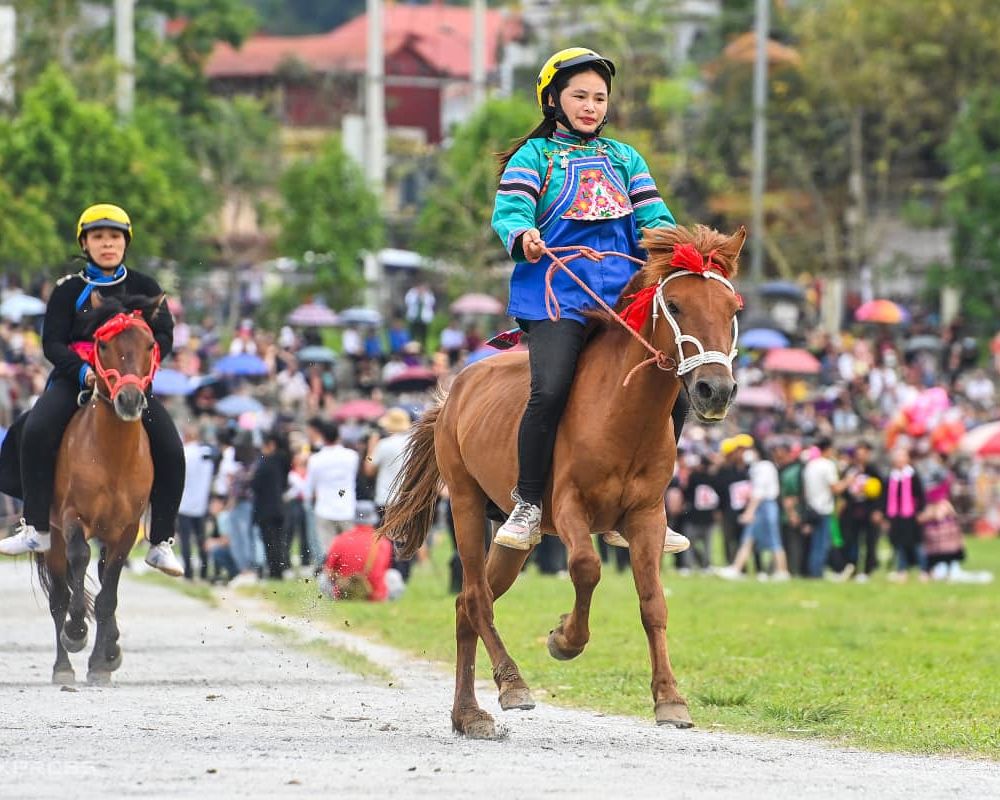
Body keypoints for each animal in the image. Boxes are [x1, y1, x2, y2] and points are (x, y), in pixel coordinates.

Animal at [37, 290, 162, 684]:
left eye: (150, 344)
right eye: (103, 344)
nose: (129, 399)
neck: (112, 455)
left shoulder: (126, 528)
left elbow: (109, 592)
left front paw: (102, 660)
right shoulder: (72, 517)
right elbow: (80, 561)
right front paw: (77, 631)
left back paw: (106, 651)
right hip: (52, 537)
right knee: (59, 595)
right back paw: (63, 664)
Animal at [378, 223, 748, 736]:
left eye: (732, 310)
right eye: (674, 306)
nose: (716, 390)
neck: (622, 413)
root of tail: (454, 391)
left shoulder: (647, 516)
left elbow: (653, 602)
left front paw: (670, 699)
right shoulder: (570, 505)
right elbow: (586, 568)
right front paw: (564, 639)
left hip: (513, 539)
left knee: (467, 603)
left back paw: (467, 714)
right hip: (467, 506)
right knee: (477, 597)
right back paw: (511, 684)